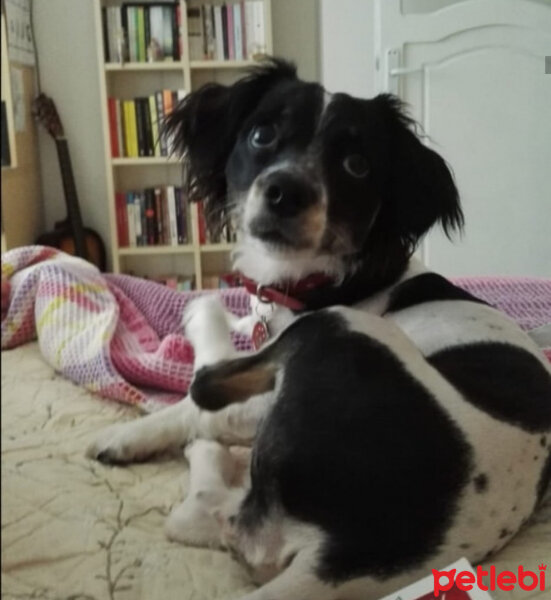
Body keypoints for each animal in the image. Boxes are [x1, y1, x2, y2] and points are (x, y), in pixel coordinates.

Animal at [87, 59, 551, 600]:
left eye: (357, 165)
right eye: (262, 135)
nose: (287, 192)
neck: (312, 280)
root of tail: (342, 558)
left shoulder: (271, 377)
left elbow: (195, 398)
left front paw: (128, 431)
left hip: (340, 330)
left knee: (198, 489)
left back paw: (205, 442)